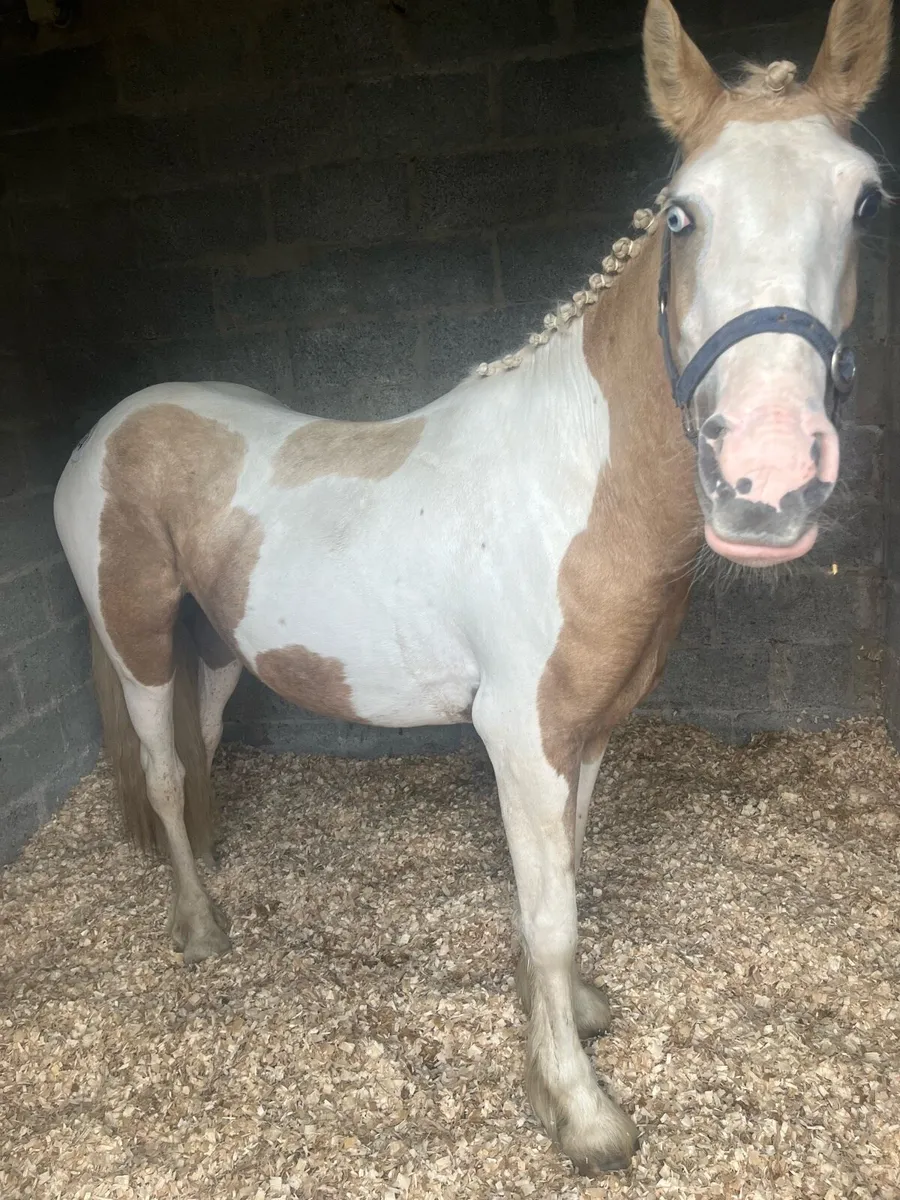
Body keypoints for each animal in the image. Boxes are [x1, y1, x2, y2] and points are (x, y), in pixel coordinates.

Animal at [52, 0, 891, 1176]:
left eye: (863, 201)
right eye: (684, 213)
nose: (767, 480)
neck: (571, 482)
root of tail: (109, 428)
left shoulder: (588, 731)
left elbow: (567, 882)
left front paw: (572, 1017)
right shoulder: (519, 735)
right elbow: (547, 914)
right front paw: (579, 1110)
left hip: (216, 646)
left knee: (202, 747)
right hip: (135, 637)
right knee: (166, 773)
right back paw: (203, 929)